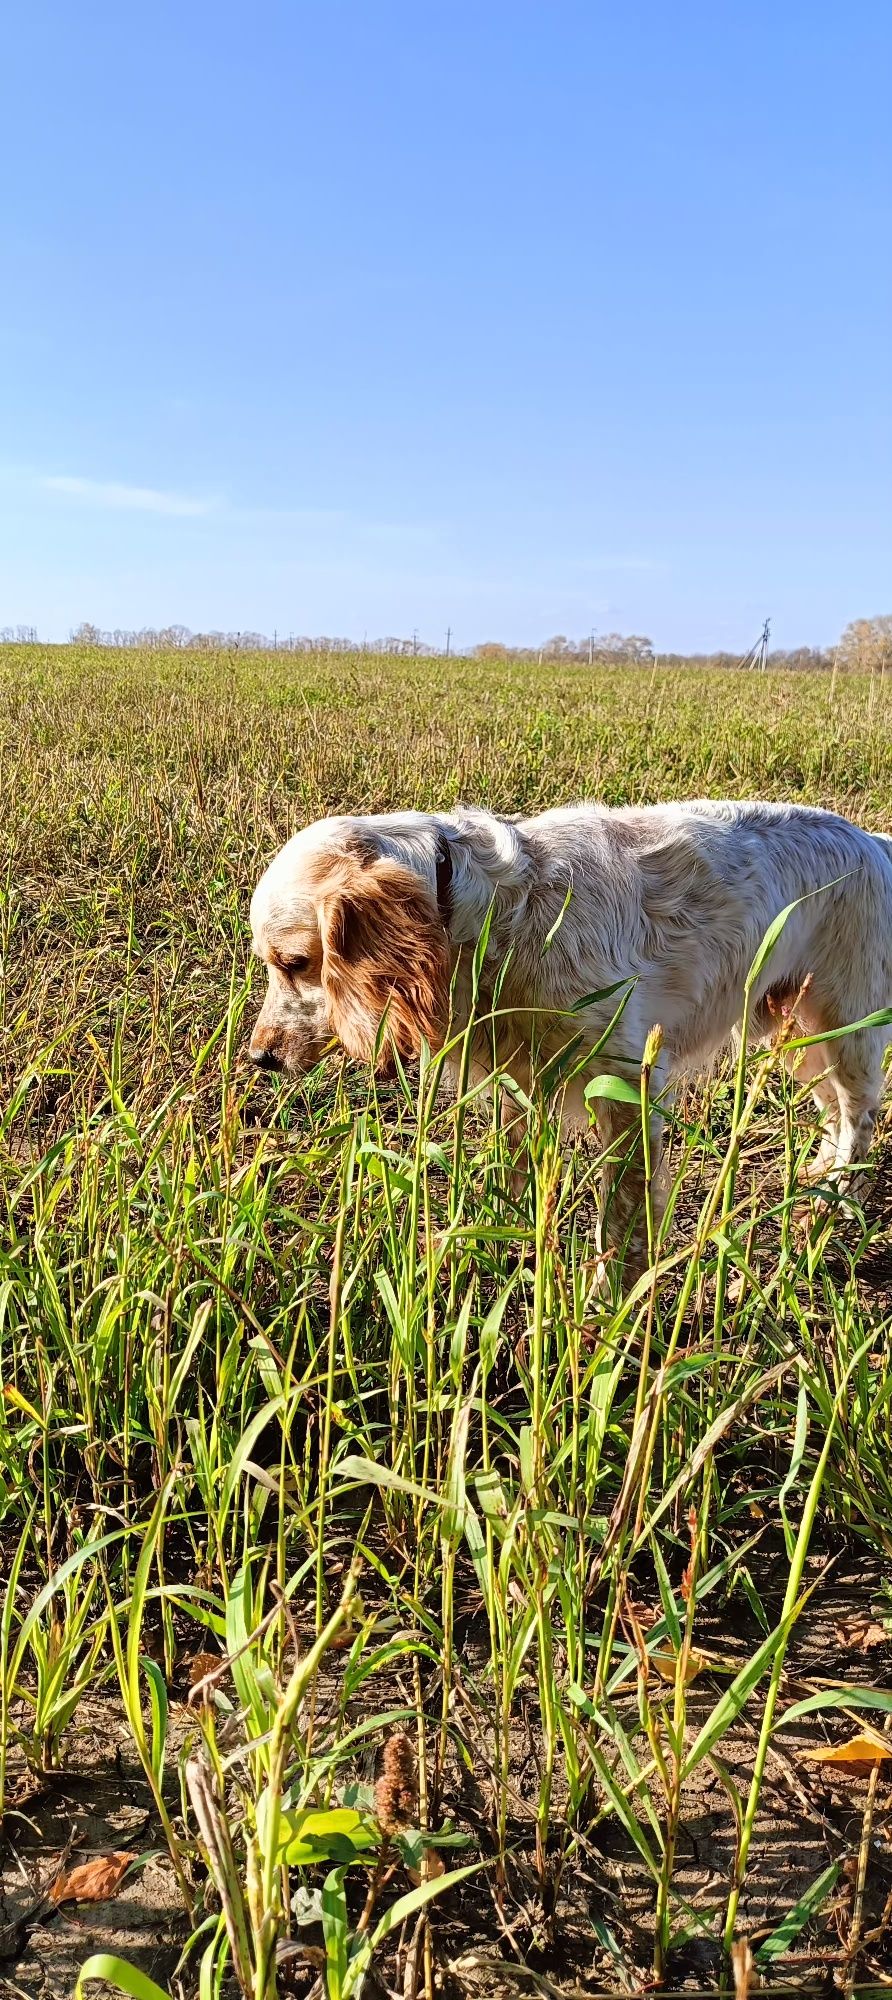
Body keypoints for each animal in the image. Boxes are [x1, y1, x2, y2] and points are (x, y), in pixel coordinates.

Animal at [249, 796, 892, 1264]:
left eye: (295, 963)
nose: (260, 1058)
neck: (491, 915)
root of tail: (874, 842)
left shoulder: (627, 1085)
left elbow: (622, 1219)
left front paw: (611, 1310)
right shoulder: (516, 1079)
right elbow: (509, 1174)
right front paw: (486, 1245)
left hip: (849, 1028)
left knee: (860, 1119)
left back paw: (830, 1206)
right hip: (800, 1033)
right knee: (834, 1116)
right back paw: (817, 1181)